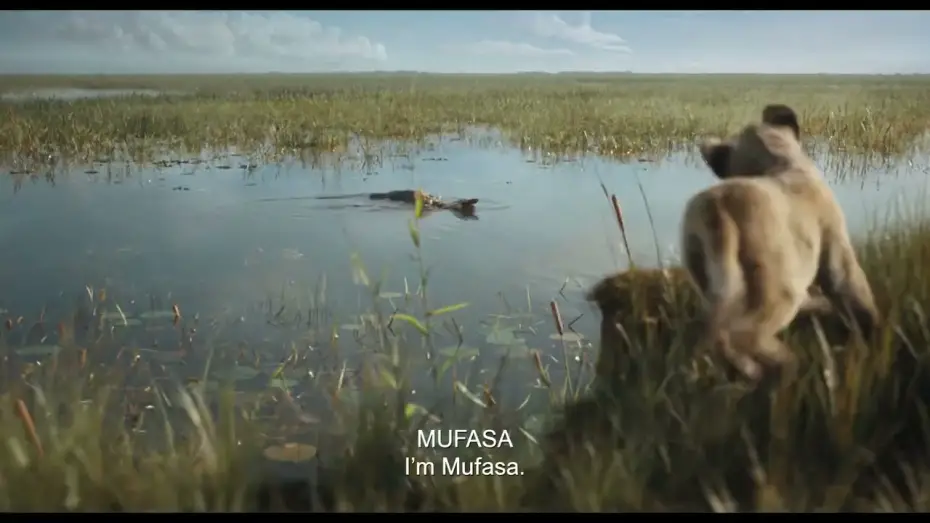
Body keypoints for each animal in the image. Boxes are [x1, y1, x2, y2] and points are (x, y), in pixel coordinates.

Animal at [678, 103, 879, 382]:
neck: (779, 160)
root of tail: (719, 210)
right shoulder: (836, 253)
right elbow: (857, 298)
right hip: (777, 292)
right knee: (743, 335)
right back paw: (781, 365)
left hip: (715, 283)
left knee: (721, 334)